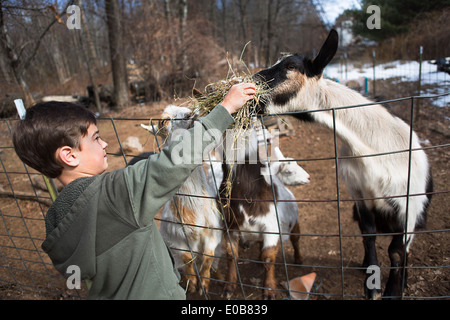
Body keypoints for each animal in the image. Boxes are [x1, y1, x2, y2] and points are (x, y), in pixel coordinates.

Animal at [253, 30, 432, 300]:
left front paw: (392, 291)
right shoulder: (358, 192)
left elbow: (397, 251)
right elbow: (368, 234)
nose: (250, 83)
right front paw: (372, 285)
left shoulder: (410, 203)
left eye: (290, 66)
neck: (371, 147)